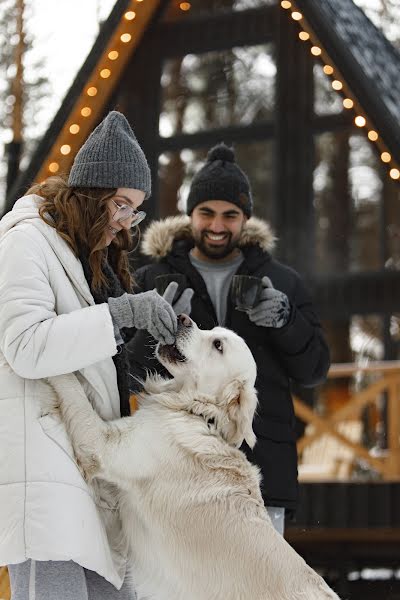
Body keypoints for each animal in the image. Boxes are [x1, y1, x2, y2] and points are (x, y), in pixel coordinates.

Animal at [47, 316, 340, 596]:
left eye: (218, 345)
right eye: (210, 330)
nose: (182, 317)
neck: (196, 411)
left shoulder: (105, 444)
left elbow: (72, 388)